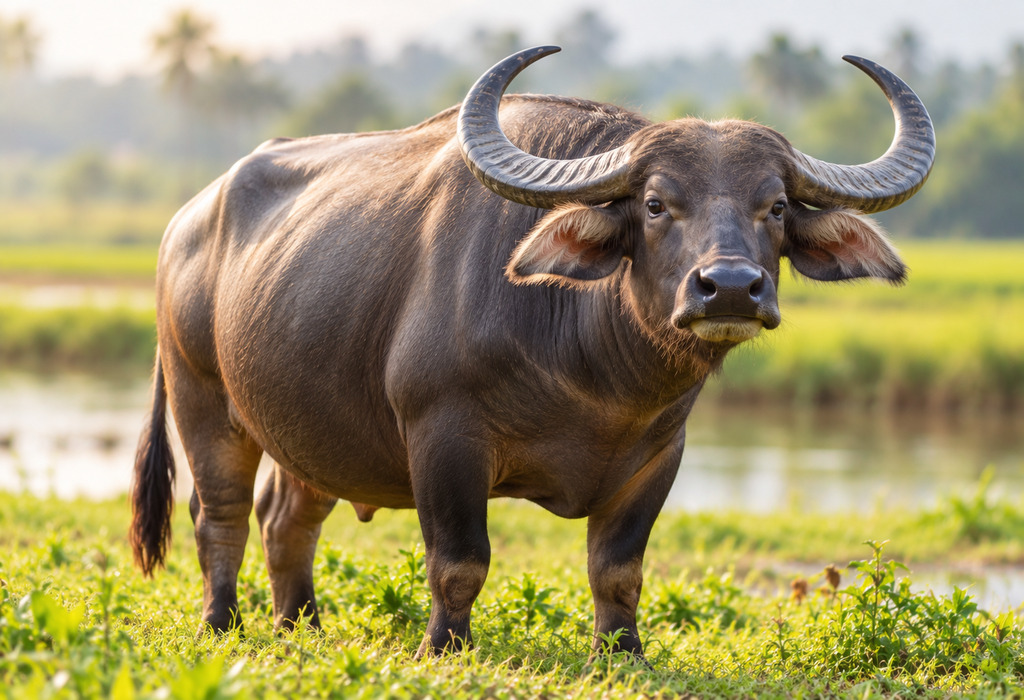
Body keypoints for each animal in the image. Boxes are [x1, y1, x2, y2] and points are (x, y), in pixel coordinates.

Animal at [130, 46, 934, 660]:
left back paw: (302, 625)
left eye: (776, 206)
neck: (597, 378)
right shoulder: (443, 437)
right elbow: (459, 563)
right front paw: (443, 649)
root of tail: (184, 221)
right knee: (221, 514)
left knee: (285, 519)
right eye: (655, 203)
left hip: (311, 428)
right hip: (204, 396)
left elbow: (618, 571)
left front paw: (623, 655)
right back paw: (223, 625)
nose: (730, 288)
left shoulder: (658, 456)